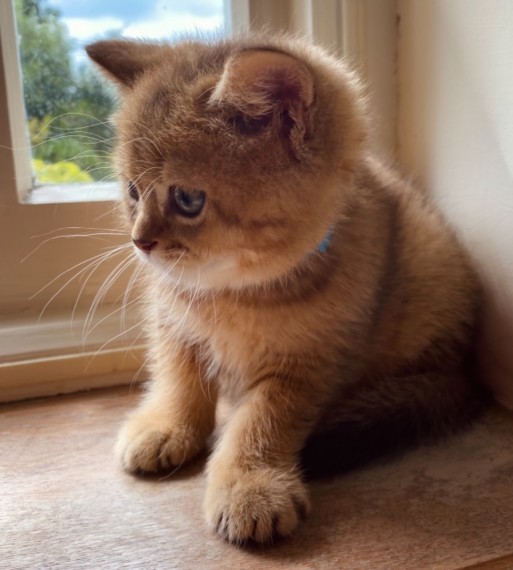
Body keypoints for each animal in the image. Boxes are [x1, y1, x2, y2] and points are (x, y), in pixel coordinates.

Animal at [87, 32, 484, 540]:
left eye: (188, 199)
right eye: (132, 192)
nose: (140, 241)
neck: (236, 291)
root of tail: (465, 375)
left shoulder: (311, 362)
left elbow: (264, 421)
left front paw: (249, 486)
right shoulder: (173, 323)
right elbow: (179, 377)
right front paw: (168, 426)